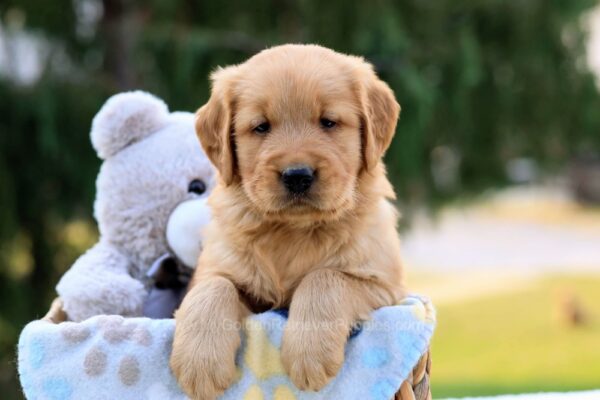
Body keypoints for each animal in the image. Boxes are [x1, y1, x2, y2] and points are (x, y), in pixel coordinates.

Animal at [170, 44, 404, 400]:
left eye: (329, 122)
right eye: (261, 127)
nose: (297, 175)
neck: (293, 231)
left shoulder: (386, 285)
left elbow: (324, 278)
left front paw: (309, 352)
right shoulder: (220, 271)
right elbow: (213, 287)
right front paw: (200, 362)